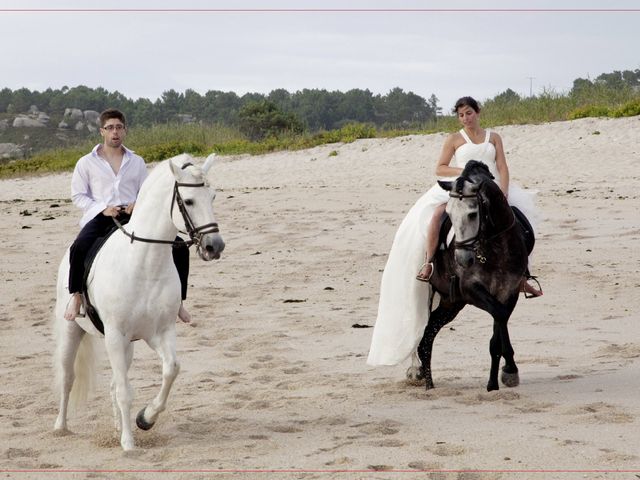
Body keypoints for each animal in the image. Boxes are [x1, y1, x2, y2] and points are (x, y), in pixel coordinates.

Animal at [53, 153, 226, 450]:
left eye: (213, 196)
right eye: (189, 201)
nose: (215, 246)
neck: (145, 263)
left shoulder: (159, 332)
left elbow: (171, 370)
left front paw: (145, 419)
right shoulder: (115, 335)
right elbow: (125, 391)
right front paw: (129, 444)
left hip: (127, 345)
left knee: (113, 383)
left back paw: (116, 426)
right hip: (72, 331)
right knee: (67, 378)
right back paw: (61, 427)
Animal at [418, 159, 528, 392]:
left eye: (472, 214)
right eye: (449, 214)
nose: (462, 259)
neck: (497, 246)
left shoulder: (510, 289)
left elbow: (499, 323)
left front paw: (499, 378)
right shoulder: (471, 290)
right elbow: (499, 315)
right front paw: (508, 370)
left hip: (451, 303)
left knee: (427, 336)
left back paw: (427, 380)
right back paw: (423, 379)